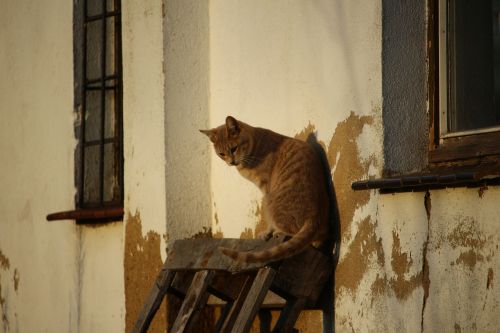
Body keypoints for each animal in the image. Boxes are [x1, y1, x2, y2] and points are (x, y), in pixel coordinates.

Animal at [199, 116, 332, 262]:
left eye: (234, 149)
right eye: (221, 154)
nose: (231, 162)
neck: (255, 146)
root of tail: (314, 217)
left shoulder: (266, 188)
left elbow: (270, 224)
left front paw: (268, 232)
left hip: (268, 200)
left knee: (292, 231)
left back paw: (279, 232)